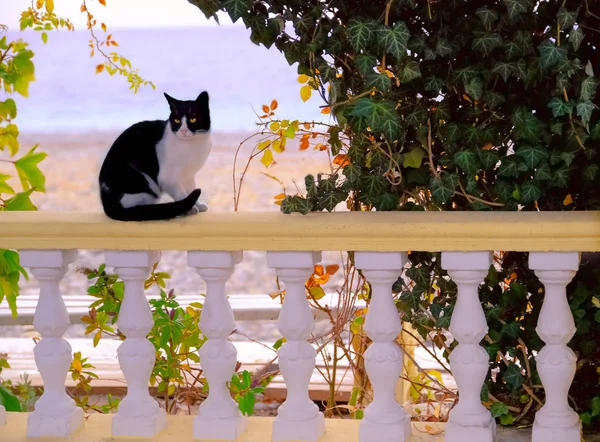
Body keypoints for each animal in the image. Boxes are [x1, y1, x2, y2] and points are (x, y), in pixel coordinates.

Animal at [98, 91, 211, 221]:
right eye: (177, 120)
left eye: (193, 119)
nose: (183, 131)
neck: (191, 146)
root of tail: (107, 204)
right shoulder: (168, 179)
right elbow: (182, 194)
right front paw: (190, 208)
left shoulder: (188, 176)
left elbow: (190, 189)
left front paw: (198, 205)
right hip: (142, 180)